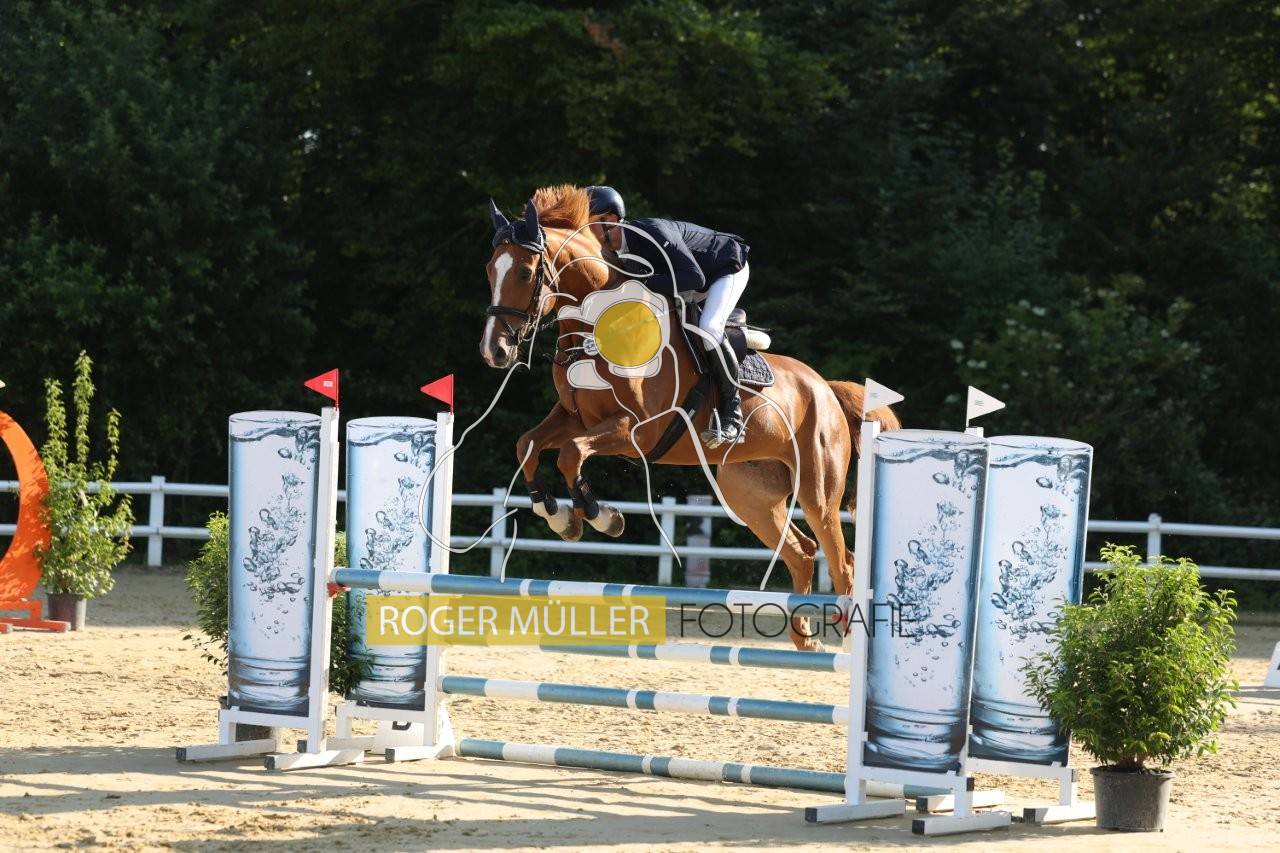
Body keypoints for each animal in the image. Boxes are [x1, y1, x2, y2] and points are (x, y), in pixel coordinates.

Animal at [479, 185, 899, 650]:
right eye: (490, 271)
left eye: (524, 273)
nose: (495, 351)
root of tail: (826, 388)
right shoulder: (576, 419)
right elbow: (528, 445)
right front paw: (557, 514)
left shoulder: (638, 431)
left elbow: (570, 455)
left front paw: (602, 517)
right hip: (747, 493)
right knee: (802, 554)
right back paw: (805, 641)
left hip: (817, 491)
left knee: (842, 563)